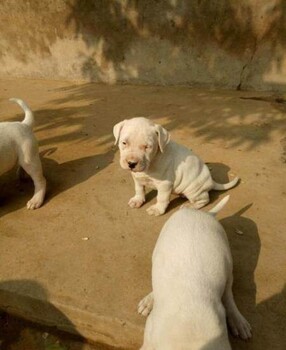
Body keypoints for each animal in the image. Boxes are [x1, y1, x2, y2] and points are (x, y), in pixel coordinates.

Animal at [137, 197, 251, 350]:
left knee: (228, 293)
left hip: (227, 262)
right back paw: (148, 301)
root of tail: (205, 213)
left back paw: (238, 321)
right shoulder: (152, 332)